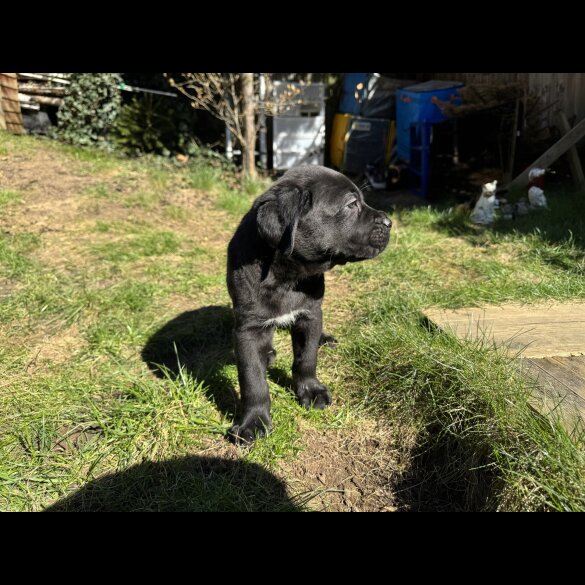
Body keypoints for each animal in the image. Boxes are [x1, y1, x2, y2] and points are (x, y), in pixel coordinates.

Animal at [226, 164, 390, 442]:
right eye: (351, 204)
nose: (390, 222)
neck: (287, 276)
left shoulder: (310, 314)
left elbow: (307, 358)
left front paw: (311, 392)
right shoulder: (248, 327)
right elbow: (252, 378)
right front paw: (254, 422)